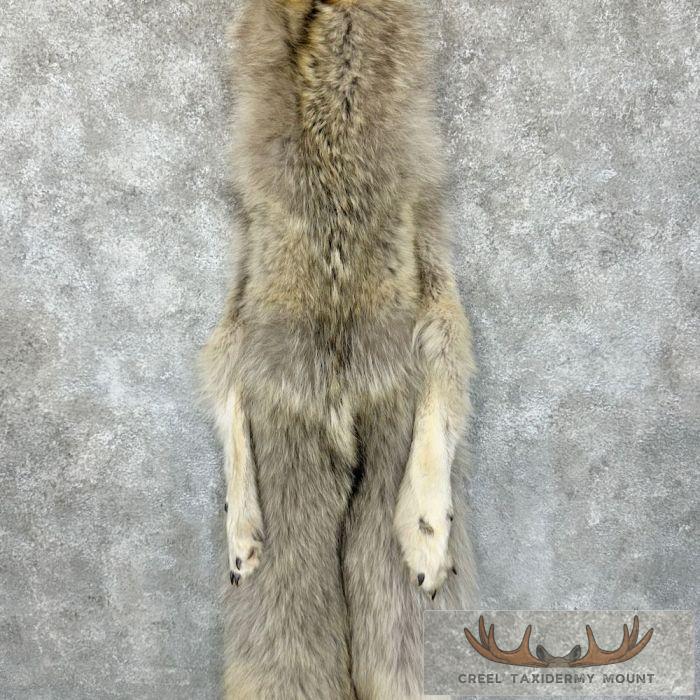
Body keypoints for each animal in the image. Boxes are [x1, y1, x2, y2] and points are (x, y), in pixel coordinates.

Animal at [200, 1, 476, 697]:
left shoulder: (424, 223)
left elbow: (448, 355)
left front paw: (430, 534)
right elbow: (222, 368)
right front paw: (240, 533)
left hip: (382, 428)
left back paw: (425, 546)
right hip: (287, 445)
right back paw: (246, 540)